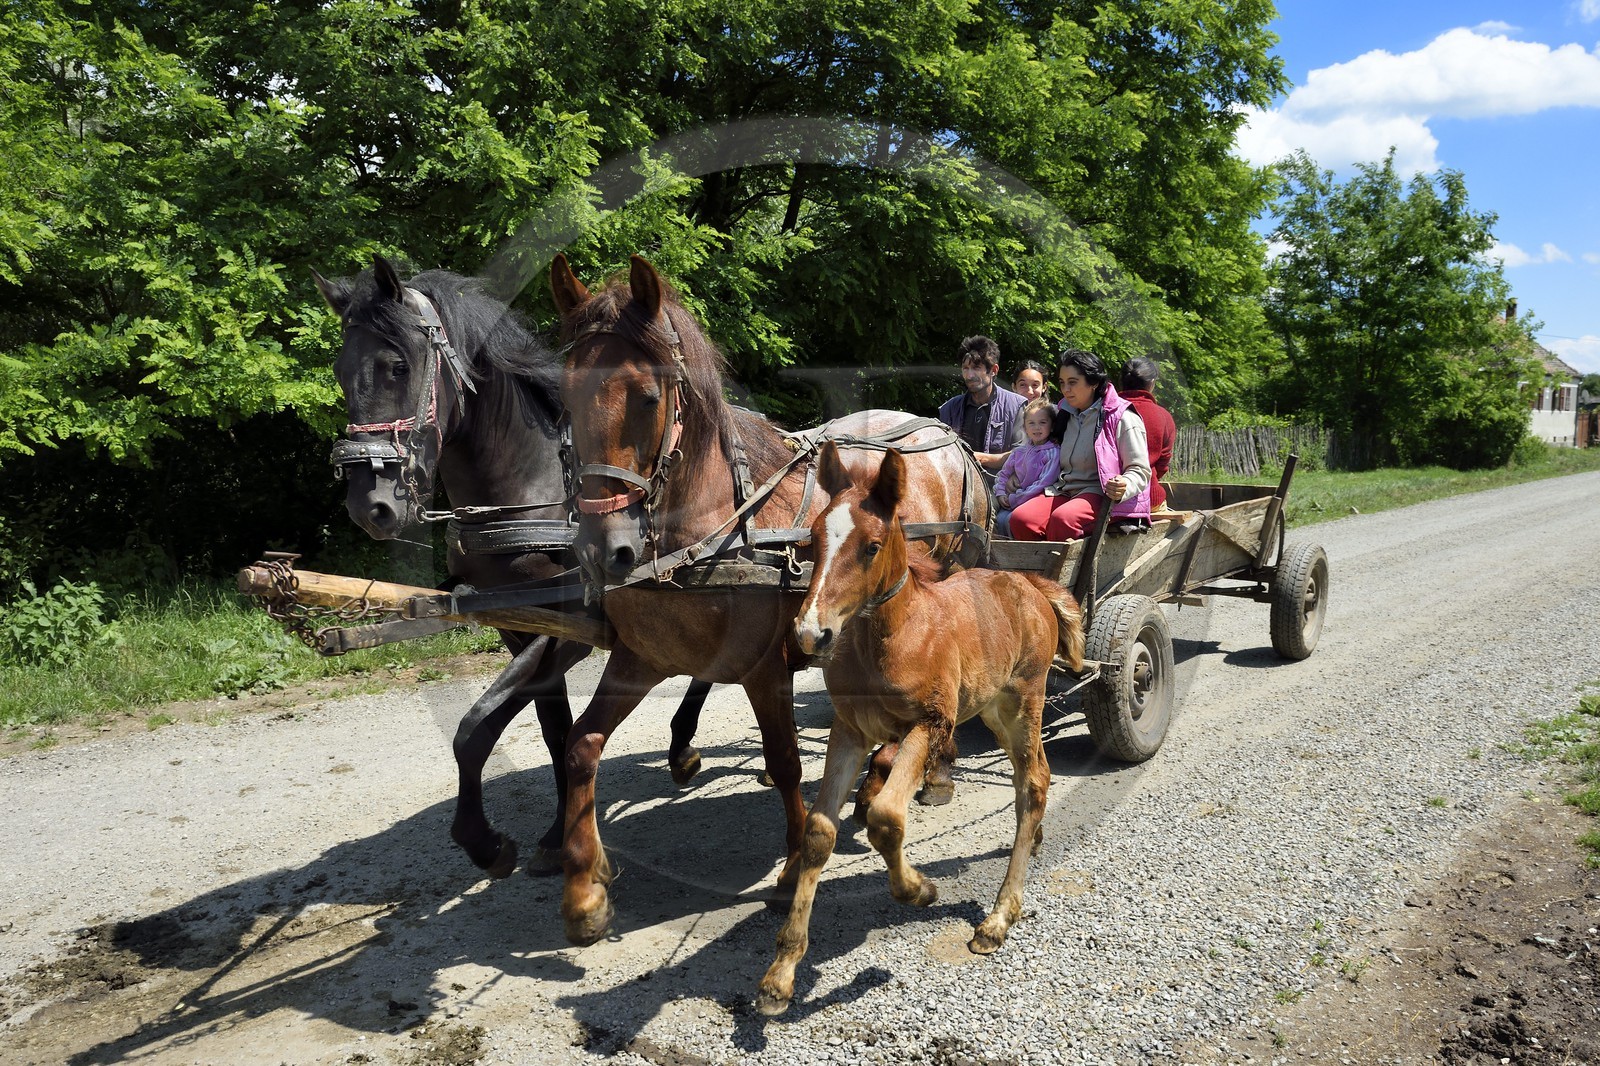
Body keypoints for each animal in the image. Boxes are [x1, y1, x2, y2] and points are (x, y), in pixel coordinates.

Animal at [312, 254, 715, 876]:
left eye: (397, 367)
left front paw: (484, 840)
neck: (533, 493)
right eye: (338, 371)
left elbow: (474, 728)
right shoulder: (516, 624)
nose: (369, 504)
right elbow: (551, 728)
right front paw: (555, 831)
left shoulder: (568, 626)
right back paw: (681, 745)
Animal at [551, 253, 989, 946]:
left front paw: (790, 868)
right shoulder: (640, 658)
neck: (713, 533)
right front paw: (584, 890)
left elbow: (784, 761)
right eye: (563, 399)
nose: (604, 550)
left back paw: (921, 774)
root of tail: (949, 436)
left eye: (647, 397)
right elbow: (580, 746)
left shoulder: (765, 667)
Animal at [756, 442, 1085, 1015]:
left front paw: (919, 890)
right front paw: (782, 970)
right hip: (994, 709)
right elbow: (820, 829)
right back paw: (1036, 843)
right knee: (1031, 780)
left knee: (1034, 782)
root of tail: (1032, 584)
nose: (810, 634)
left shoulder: (929, 725)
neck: (888, 638)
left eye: (871, 546)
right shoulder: (850, 731)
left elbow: (886, 815)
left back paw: (999, 917)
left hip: (1025, 700)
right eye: (814, 539)